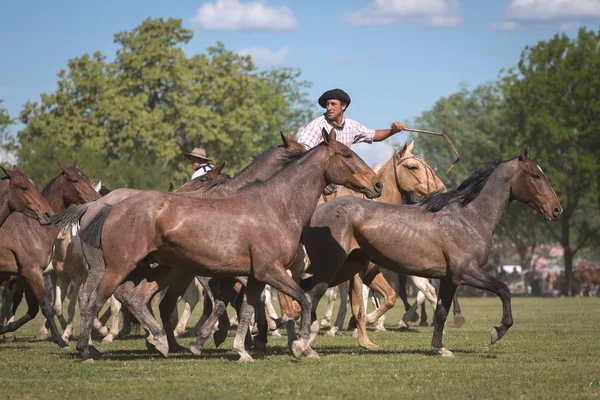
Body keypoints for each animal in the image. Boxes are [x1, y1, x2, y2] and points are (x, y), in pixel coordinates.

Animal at [0, 160, 100, 346]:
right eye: (74, 180)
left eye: (87, 178)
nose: (97, 200)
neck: (31, 227)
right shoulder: (32, 273)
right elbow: (46, 308)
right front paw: (60, 340)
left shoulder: (27, 275)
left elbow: (33, 310)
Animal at [75, 128, 382, 362]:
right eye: (346, 155)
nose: (377, 185)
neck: (276, 206)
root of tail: (109, 208)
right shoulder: (270, 272)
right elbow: (303, 300)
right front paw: (299, 345)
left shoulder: (255, 276)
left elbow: (247, 309)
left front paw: (242, 350)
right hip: (118, 268)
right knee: (94, 301)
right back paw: (88, 351)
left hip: (159, 270)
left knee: (136, 299)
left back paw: (160, 342)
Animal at [302, 146, 564, 356]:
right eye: (535, 175)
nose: (557, 210)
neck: (469, 217)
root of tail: (315, 212)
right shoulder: (466, 273)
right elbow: (504, 290)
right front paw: (497, 331)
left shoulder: (449, 279)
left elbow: (441, 311)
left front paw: (439, 347)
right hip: (333, 268)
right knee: (310, 295)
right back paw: (307, 343)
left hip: (346, 269)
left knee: (306, 293)